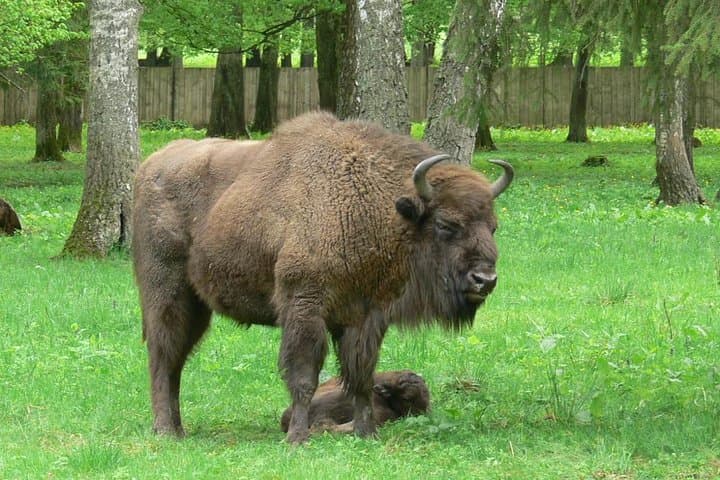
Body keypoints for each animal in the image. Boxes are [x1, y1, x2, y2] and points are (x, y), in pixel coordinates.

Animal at [132, 111, 513, 443]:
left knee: (176, 360)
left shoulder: (364, 317)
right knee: (163, 356)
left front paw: (367, 433)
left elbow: (360, 377)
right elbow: (305, 376)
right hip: (167, 294)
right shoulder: (305, 307)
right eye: (446, 224)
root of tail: (149, 168)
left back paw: (178, 429)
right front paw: (297, 439)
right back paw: (166, 431)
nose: (485, 279)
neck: (373, 204)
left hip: (197, 305)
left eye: (493, 226)